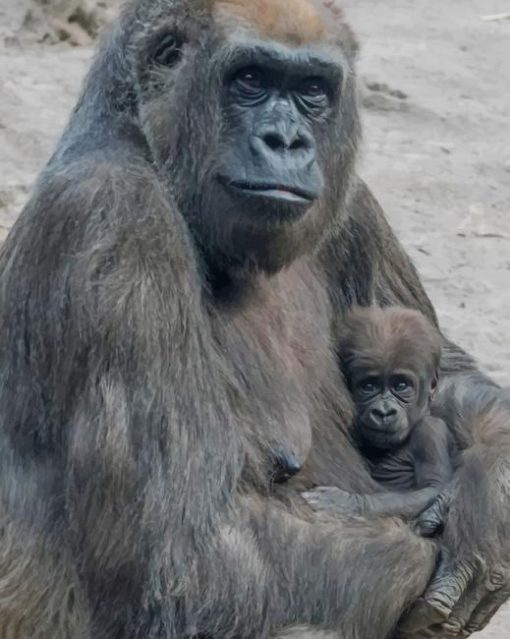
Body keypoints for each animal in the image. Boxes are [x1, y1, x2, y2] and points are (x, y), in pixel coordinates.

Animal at [302, 308, 454, 524]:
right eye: (369, 386)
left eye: (401, 385)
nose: (384, 411)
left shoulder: (431, 432)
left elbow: (432, 488)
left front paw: (349, 503)